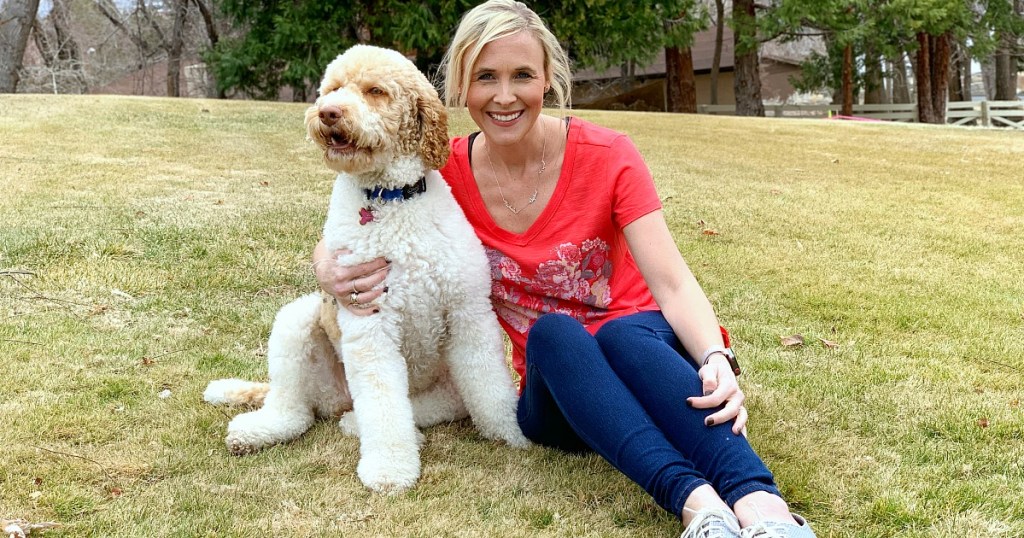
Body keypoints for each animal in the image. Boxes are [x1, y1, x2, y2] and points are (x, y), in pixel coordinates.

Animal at [204, 45, 532, 489]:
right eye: (332, 89)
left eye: (375, 91)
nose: (328, 113)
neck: (390, 198)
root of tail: (337, 401)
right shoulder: (370, 322)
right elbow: (382, 403)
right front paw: (389, 469)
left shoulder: (469, 313)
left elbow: (490, 386)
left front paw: (514, 433)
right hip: (297, 321)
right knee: (296, 408)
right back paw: (259, 430)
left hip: (444, 392)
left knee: (409, 409)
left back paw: (362, 425)